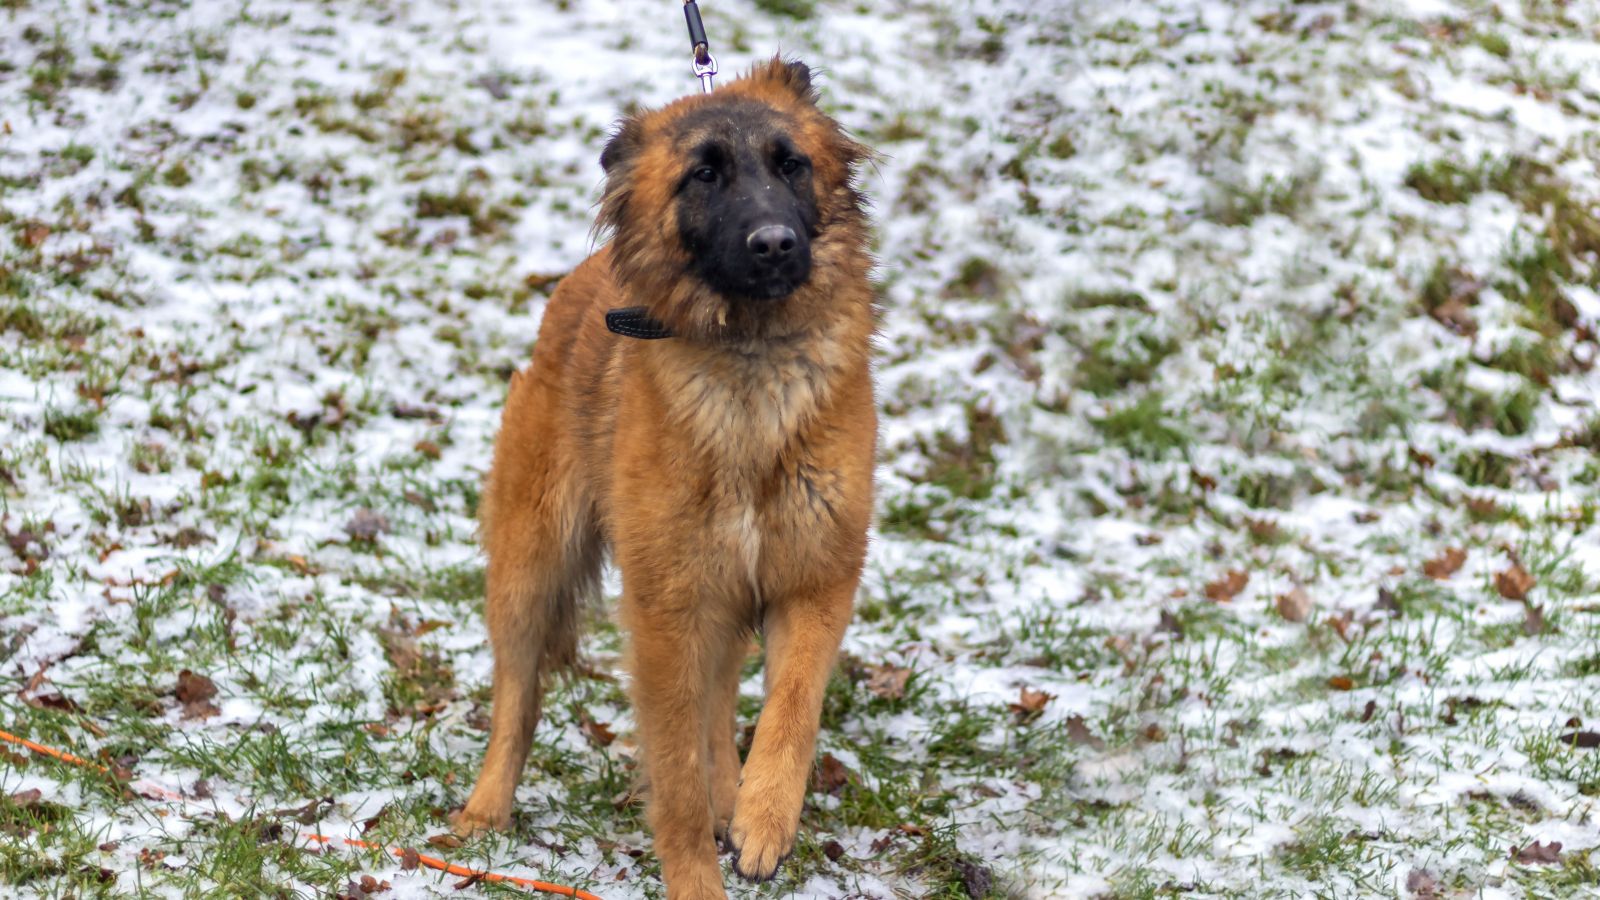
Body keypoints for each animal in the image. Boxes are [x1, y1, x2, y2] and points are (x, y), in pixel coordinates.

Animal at [452, 58, 876, 900]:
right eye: (703, 175)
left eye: (791, 164)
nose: (775, 244)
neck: (751, 360)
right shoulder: (665, 612)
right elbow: (674, 780)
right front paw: (697, 875)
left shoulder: (814, 580)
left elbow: (791, 709)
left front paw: (762, 818)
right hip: (530, 570)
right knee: (517, 698)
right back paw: (486, 809)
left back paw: (732, 799)